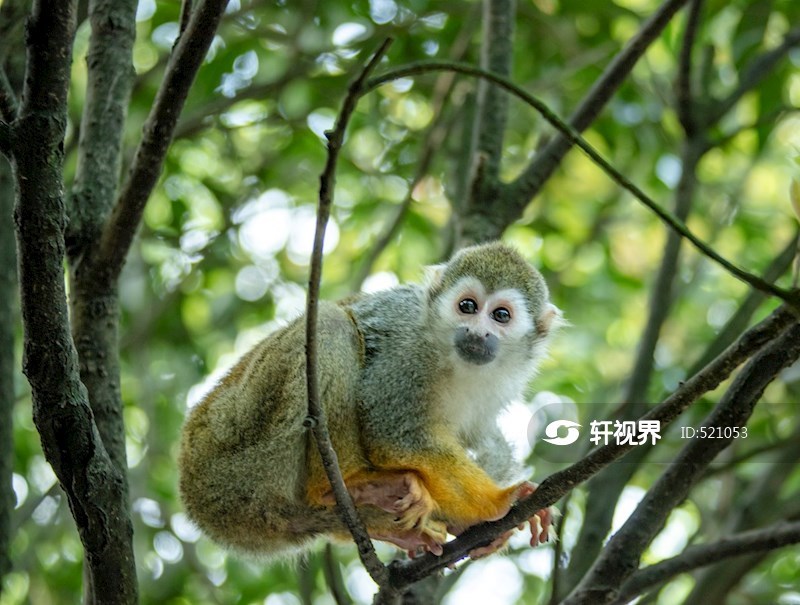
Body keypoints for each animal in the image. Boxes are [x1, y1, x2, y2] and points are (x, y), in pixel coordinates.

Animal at [179, 239, 560, 556]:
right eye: (467, 306)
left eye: (500, 315)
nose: (477, 333)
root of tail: (196, 496)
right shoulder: (406, 350)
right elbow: (395, 435)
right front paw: (499, 503)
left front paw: (471, 522)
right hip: (243, 447)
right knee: (330, 325)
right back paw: (348, 485)